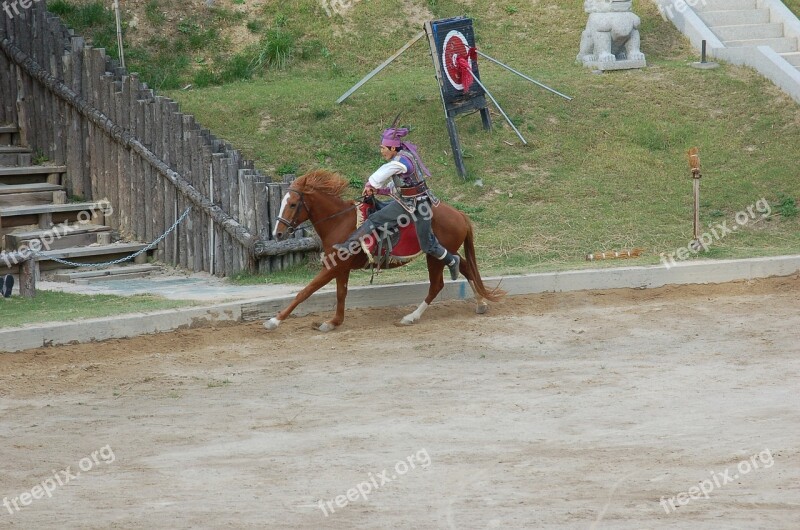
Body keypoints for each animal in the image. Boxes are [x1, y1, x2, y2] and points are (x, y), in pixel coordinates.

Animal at [266, 170, 504, 330]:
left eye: (293, 204)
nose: (278, 233)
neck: (339, 221)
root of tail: (459, 214)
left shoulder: (334, 266)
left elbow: (306, 291)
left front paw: (275, 320)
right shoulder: (341, 268)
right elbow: (341, 293)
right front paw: (334, 321)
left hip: (433, 256)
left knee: (438, 284)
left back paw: (411, 317)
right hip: (442, 251)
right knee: (463, 266)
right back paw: (481, 303)